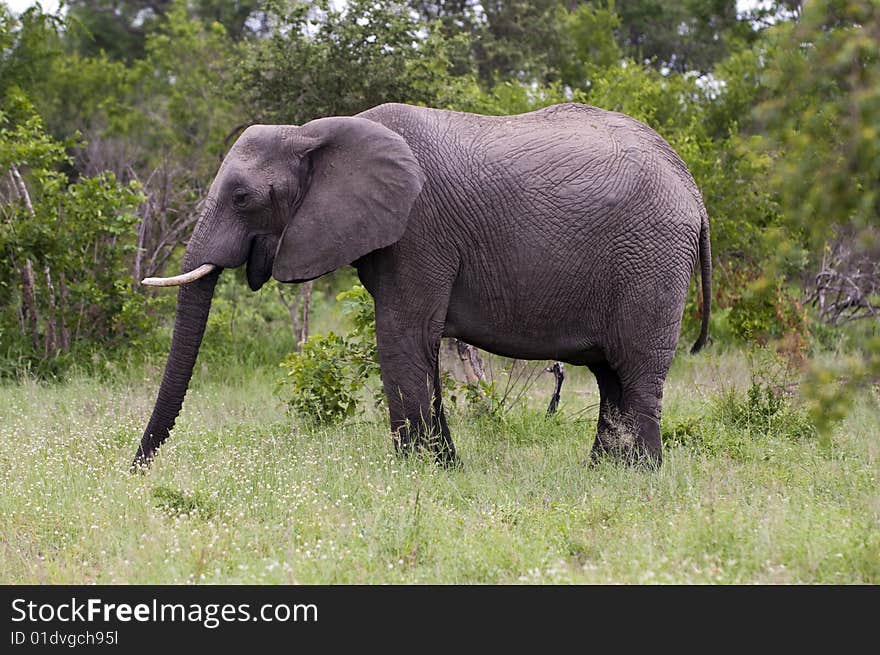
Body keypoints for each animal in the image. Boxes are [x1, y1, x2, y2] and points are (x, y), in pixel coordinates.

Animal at [132, 101, 708, 472]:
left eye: (243, 198)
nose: (136, 471)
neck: (314, 132)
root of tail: (695, 194)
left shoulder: (418, 229)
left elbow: (402, 335)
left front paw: (416, 473)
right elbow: (421, 343)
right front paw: (446, 468)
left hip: (651, 258)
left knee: (636, 370)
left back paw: (641, 477)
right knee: (611, 374)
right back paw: (604, 473)